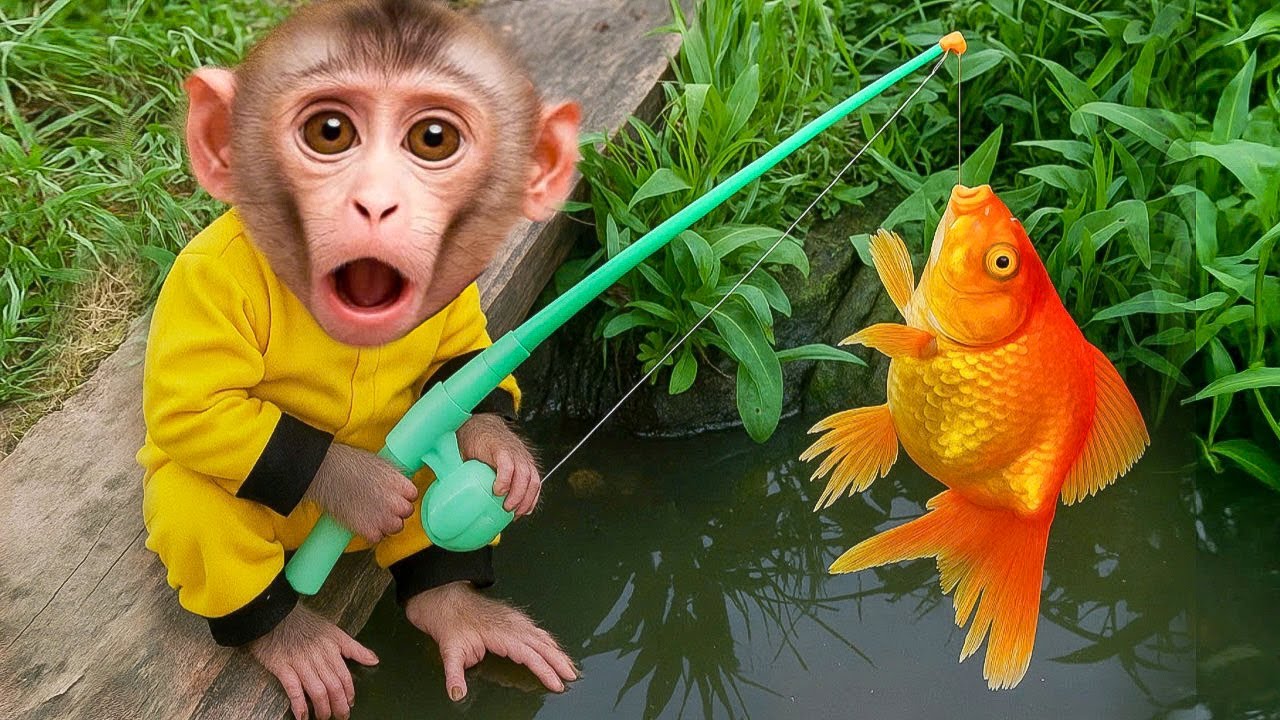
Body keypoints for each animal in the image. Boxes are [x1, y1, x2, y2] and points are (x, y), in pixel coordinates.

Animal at [135, 2, 582, 718]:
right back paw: (294, 637)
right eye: (330, 132)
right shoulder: (208, 284)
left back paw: (458, 608)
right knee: (200, 504)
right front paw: (362, 485)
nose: (376, 202)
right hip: (222, 514)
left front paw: (501, 448)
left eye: (433, 139)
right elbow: (199, 404)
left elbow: (460, 366)